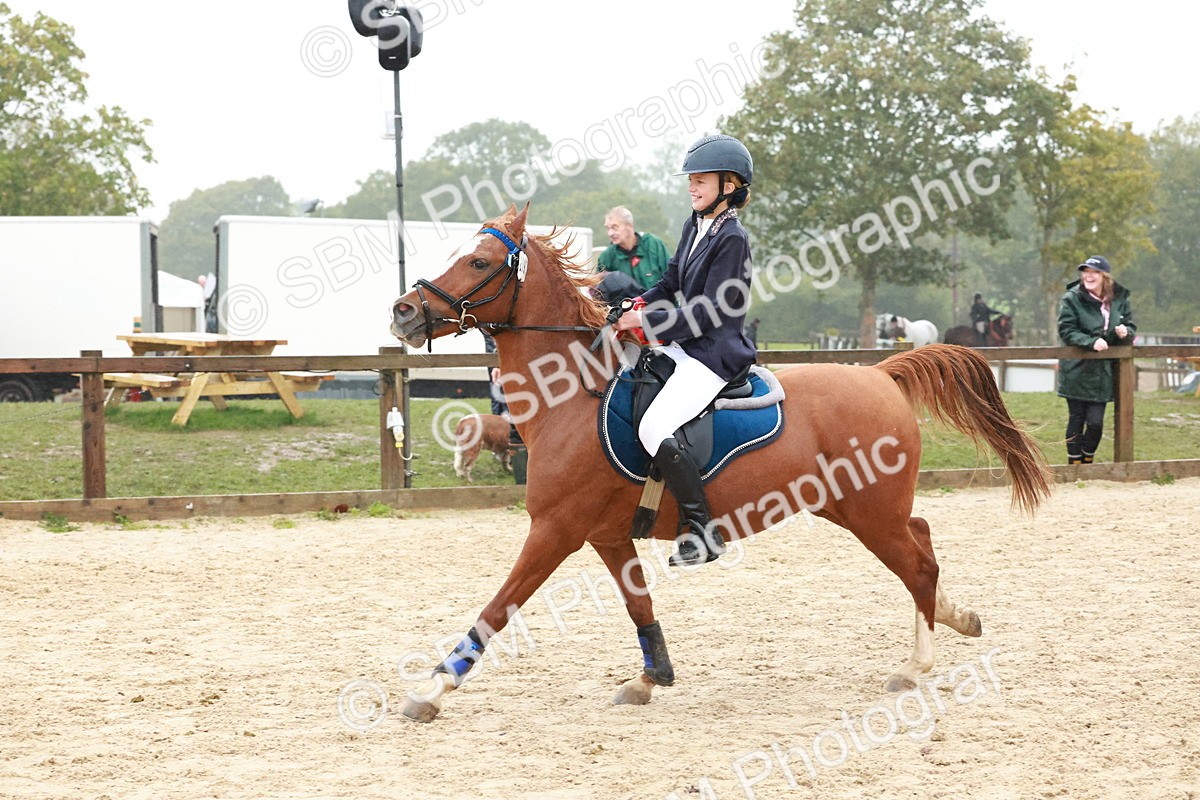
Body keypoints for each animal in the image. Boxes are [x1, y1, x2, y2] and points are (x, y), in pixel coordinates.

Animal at [390, 205, 1051, 723]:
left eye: (479, 263)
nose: (403, 311)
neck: (571, 396)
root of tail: (882, 375)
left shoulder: (556, 530)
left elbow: (497, 609)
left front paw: (433, 689)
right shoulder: (606, 535)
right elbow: (639, 607)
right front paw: (649, 678)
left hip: (870, 512)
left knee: (917, 565)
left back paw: (916, 666)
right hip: (854, 507)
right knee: (922, 542)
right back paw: (958, 618)